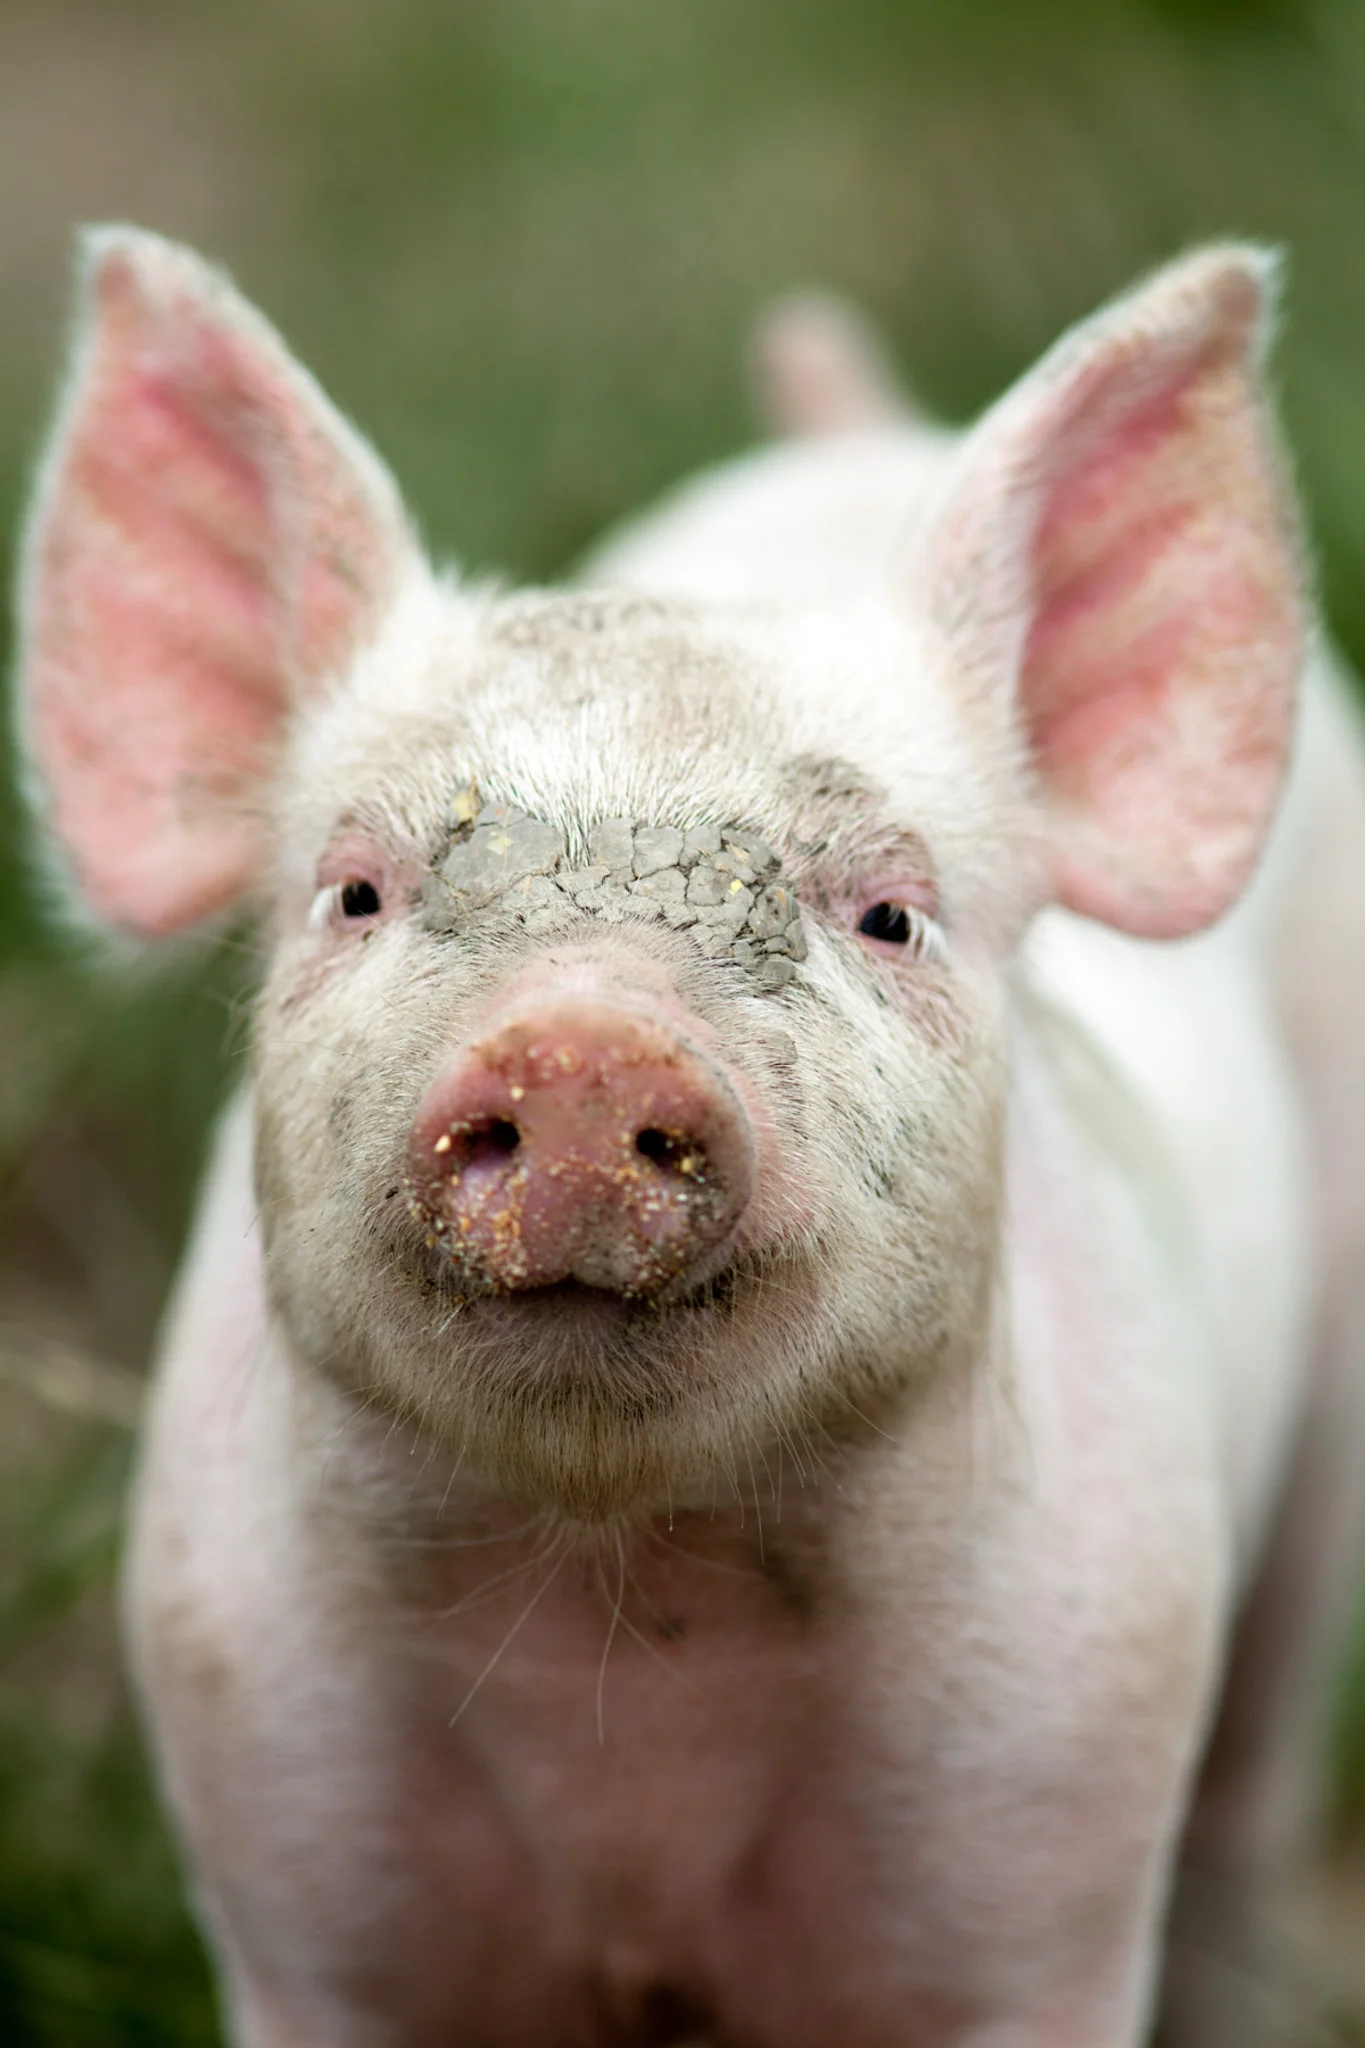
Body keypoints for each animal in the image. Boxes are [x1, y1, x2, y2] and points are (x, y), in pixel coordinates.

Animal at [13, 225, 1365, 2048]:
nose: (585, 1043)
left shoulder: (1057, 1829)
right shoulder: (282, 1841)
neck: (627, 1645)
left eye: (890, 913)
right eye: (354, 891)